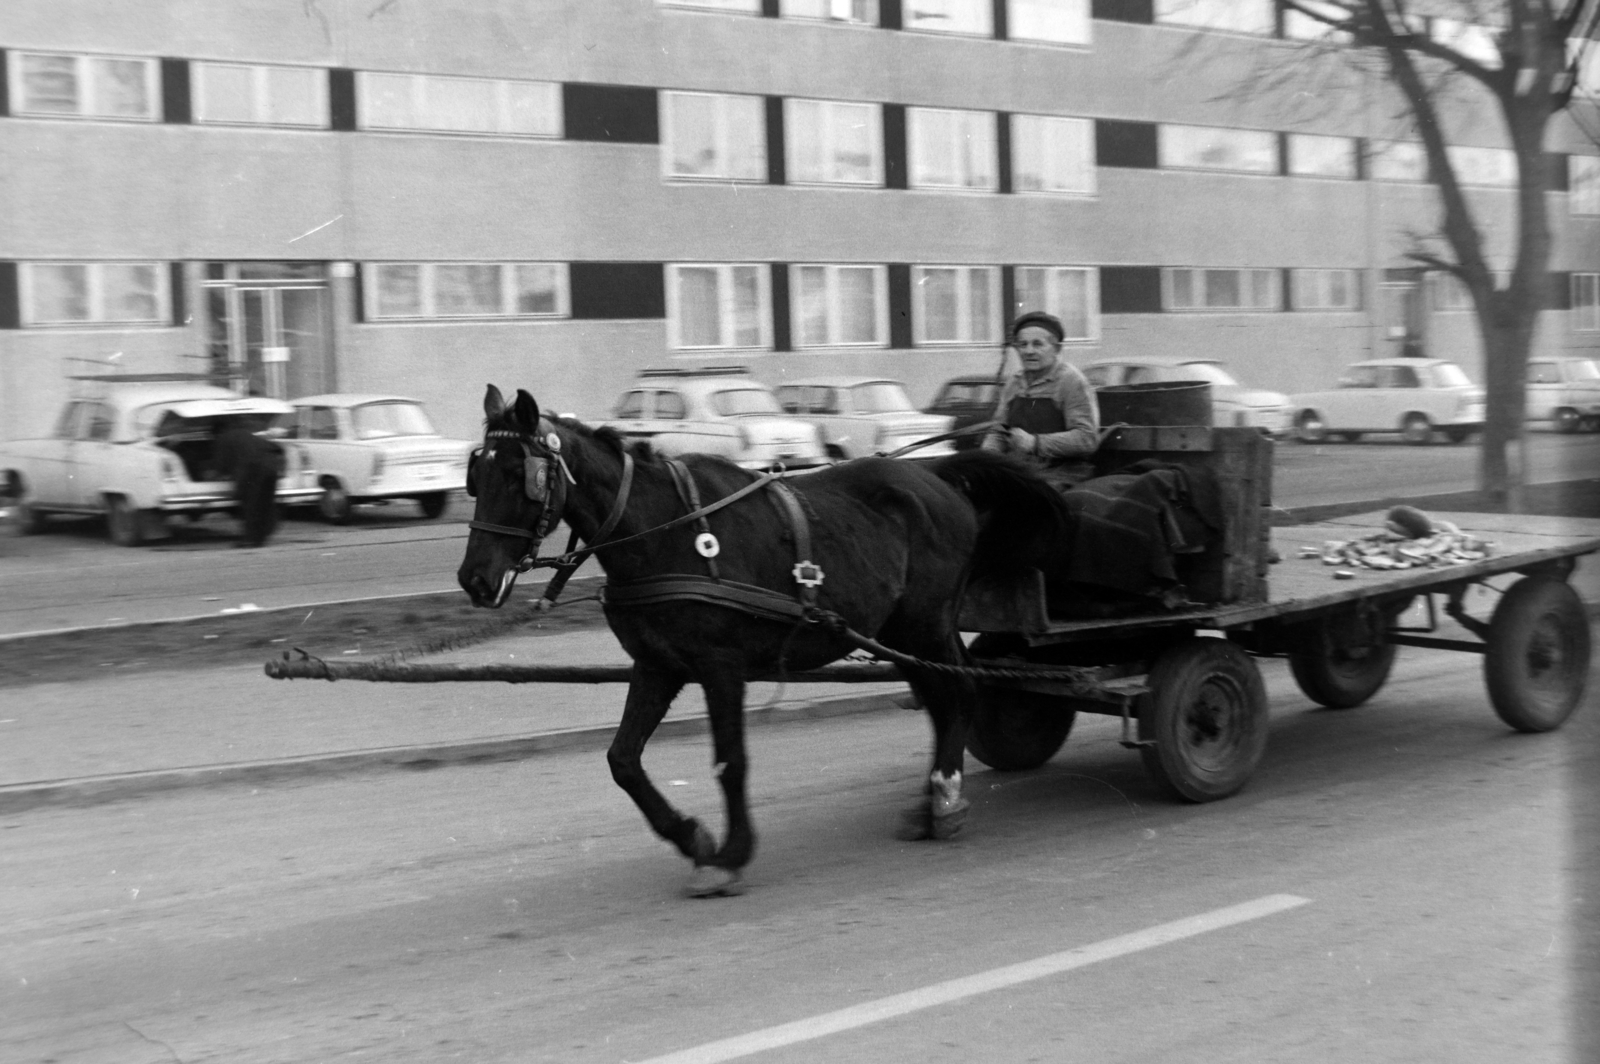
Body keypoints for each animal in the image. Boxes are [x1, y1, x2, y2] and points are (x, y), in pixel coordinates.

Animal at [460, 385, 1062, 889]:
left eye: (517, 476)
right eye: (476, 477)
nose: (474, 579)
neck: (664, 531)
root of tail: (939, 473)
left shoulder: (720, 667)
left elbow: (730, 761)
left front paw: (730, 854)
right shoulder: (658, 665)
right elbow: (623, 759)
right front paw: (692, 837)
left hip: (926, 623)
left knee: (958, 691)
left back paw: (945, 793)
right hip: (901, 630)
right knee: (942, 699)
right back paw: (933, 797)